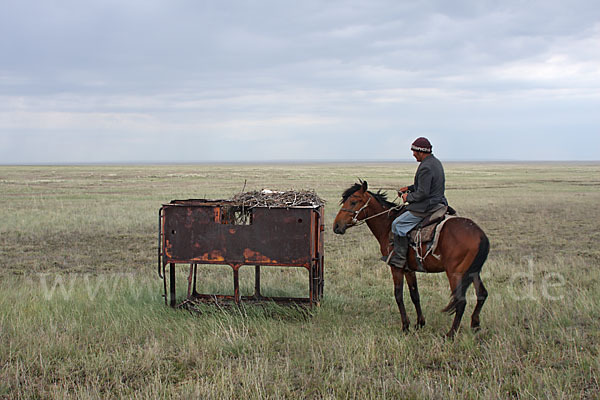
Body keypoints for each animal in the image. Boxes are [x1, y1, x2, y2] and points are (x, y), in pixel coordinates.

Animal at [332, 181, 488, 338]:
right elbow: (415, 295)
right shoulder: (409, 269)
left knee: (460, 301)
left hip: (455, 274)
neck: (387, 224)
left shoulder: (396, 267)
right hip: (473, 272)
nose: (336, 226)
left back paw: (450, 334)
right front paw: (420, 323)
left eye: (353, 201)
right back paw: (475, 325)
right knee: (482, 294)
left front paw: (405, 327)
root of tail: (480, 234)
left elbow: (398, 295)